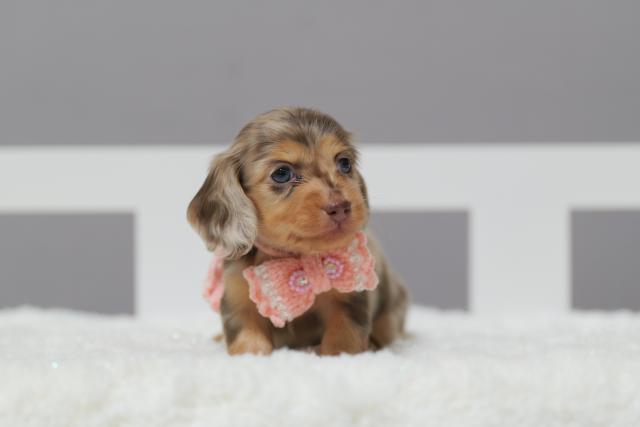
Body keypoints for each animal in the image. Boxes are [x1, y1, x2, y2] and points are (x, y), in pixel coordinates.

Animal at [188, 107, 408, 355]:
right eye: (282, 173)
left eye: (344, 163)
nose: (340, 207)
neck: (291, 257)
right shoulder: (238, 299)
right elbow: (249, 343)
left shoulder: (348, 300)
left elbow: (343, 341)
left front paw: (337, 355)